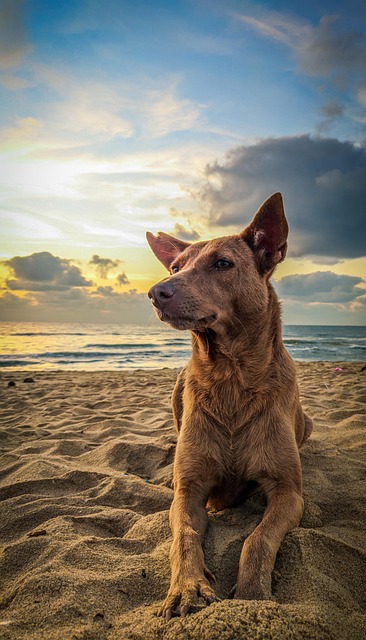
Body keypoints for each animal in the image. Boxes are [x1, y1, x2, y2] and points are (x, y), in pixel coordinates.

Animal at [146, 192, 312, 616]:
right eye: (176, 267)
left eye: (222, 263)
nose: (156, 291)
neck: (231, 379)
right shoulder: (189, 491)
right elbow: (184, 537)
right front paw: (187, 588)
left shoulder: (288, 492)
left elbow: (258, 539)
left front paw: (253, 595)